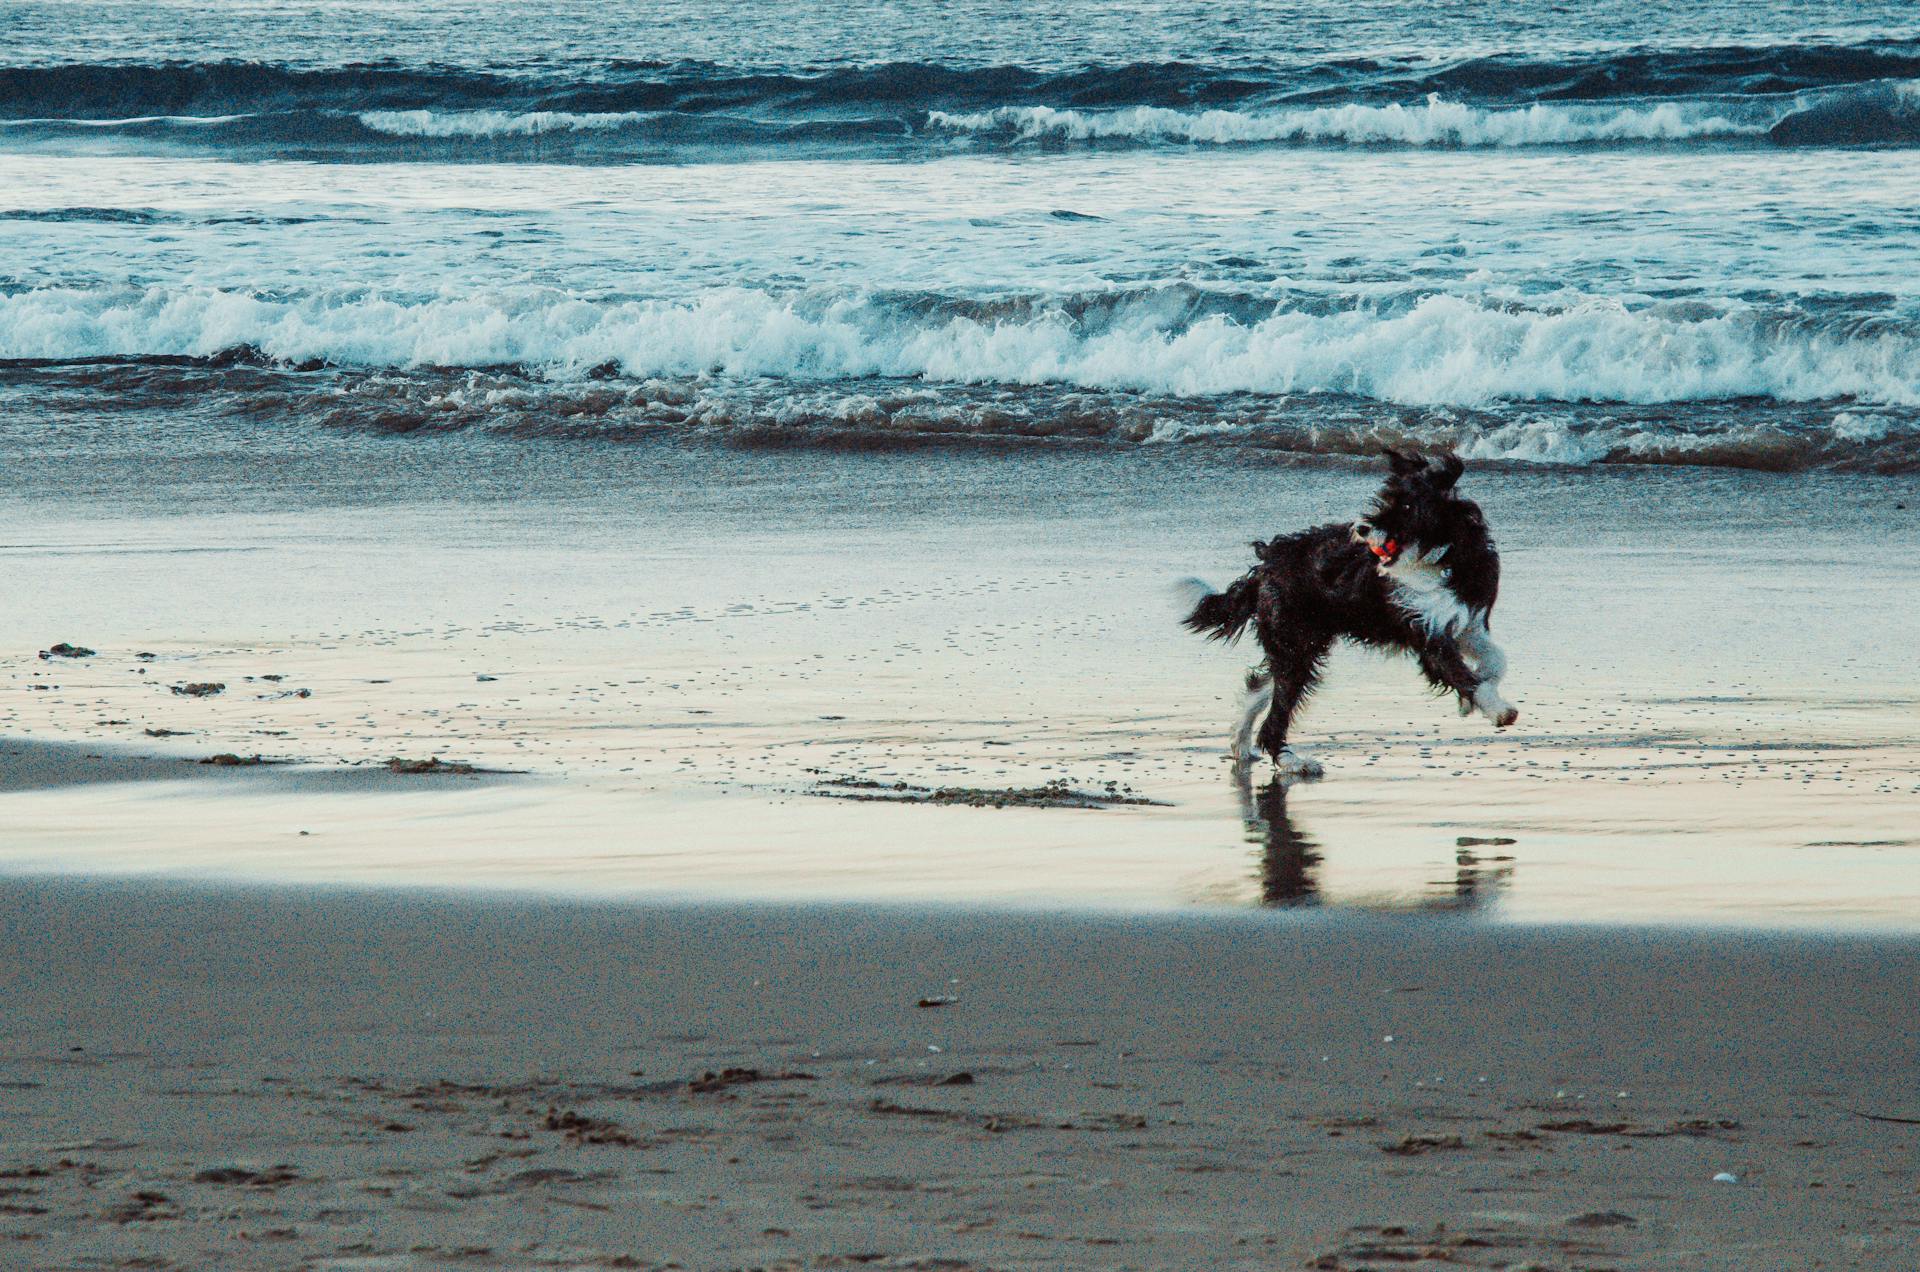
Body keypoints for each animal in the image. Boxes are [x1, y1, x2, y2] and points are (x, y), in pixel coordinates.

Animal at [1182, 453, 1512, 783]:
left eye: (1406, 506)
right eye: (1384, 500)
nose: (1363, 529)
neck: (1441, 558)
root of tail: (1265, 566)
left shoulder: (1464, 621)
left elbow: (1496, 660)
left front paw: (1473, 696)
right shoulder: (1426, 635)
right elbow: (1464, 676)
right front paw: (1498, 709)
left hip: (1300, 645)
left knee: (1259, 687)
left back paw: (1241, 743)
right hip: (1296, 646)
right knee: (1274, 718)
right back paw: (1293, 762)